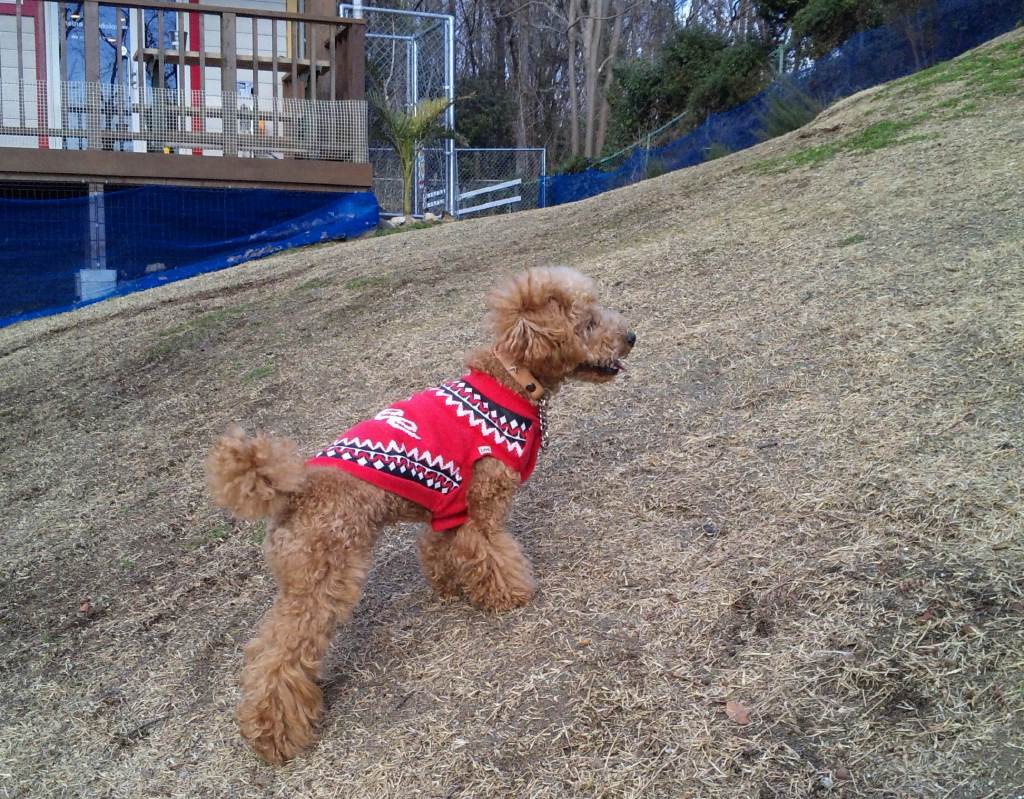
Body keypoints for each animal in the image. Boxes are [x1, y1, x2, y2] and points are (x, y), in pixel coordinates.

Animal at [207, 266, 635, 764]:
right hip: (322, 575)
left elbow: (441, 548)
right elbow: (492, 553)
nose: (630, 337)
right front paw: (511, 596)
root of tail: (292, 491)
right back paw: (275, 734)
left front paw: (450, 585)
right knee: (279, 655)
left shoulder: (449, 508)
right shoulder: (481, 502)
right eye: (587, 323)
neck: (512, 380)